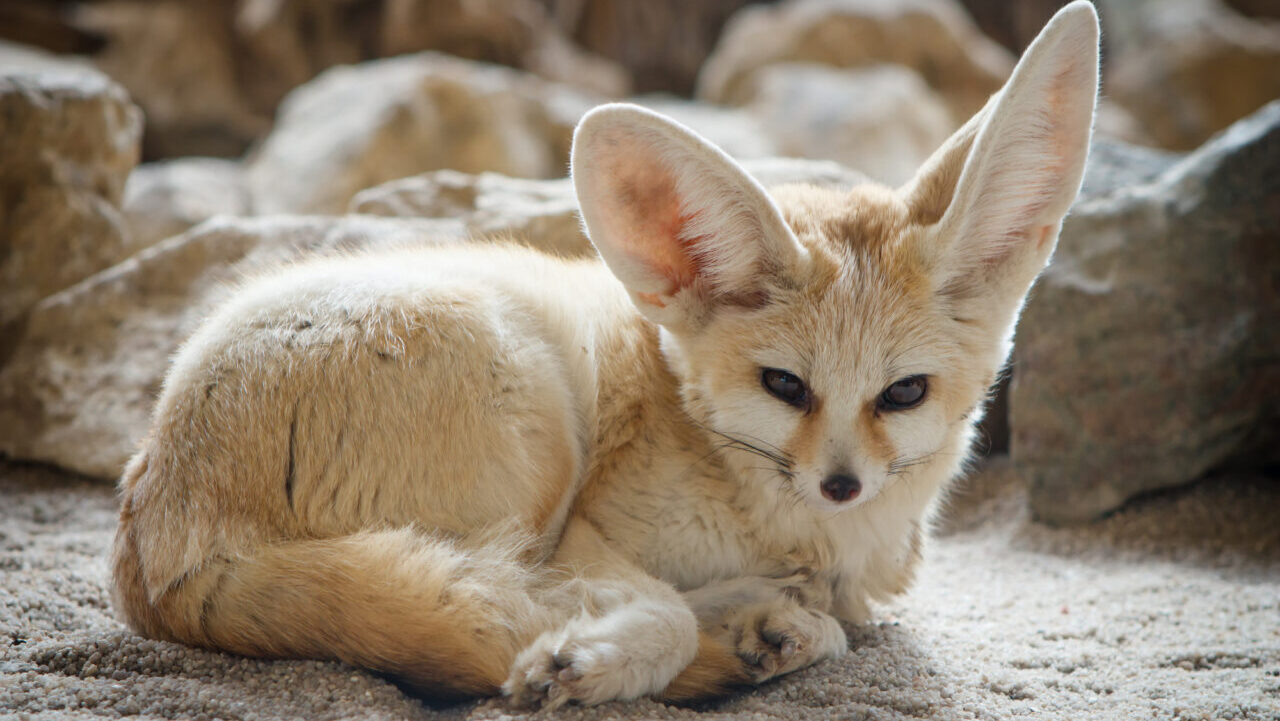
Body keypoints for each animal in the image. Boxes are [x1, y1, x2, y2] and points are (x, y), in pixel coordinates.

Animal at [110, 1, 1100, 712]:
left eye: (903, 393)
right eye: (785, 385)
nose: (842, 484)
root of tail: (160, 549)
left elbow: (807, 611)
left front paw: (771, 623)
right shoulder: (584, 531)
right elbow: (656, 607)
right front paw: (598, 657)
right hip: (538, 432)